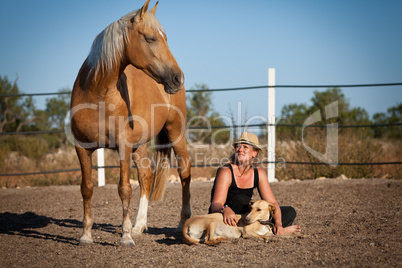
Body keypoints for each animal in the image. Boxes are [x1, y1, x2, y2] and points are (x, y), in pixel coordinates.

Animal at [70, 0, 192, 247]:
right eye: (151, 38)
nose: (178, 77)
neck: (98, 93)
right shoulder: (82, 148)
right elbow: (86, 188)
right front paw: (86, 235)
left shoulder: (123, 147)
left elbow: (124, 189)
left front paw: (125, 237)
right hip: (140, 145)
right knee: (146, 176)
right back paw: (139, 226)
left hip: (175, 132)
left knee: (184, 172)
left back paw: (181, 221)